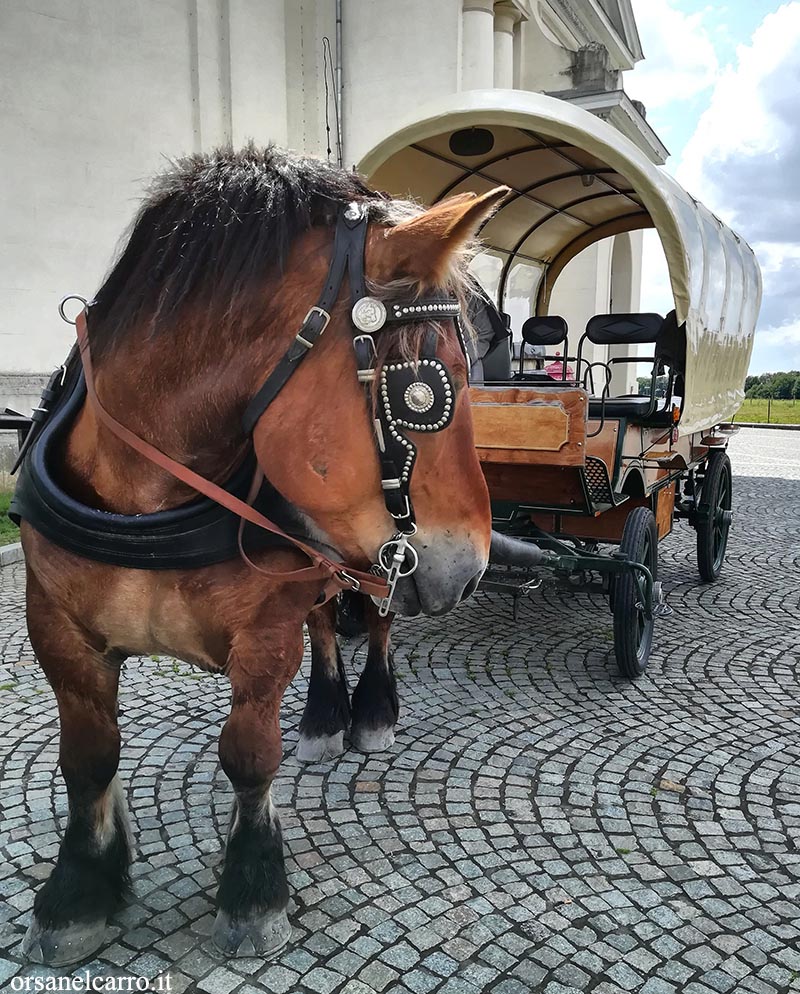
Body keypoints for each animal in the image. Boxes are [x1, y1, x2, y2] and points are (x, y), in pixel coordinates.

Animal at [21, 145, 506, 960]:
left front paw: (251, 890)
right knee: (326, 623)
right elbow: (88, 759)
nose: (471, 568)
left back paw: (368, 712)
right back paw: (322, 717)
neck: (145, 496)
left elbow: (248, 756)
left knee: (374, 623)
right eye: (424, 388)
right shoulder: (60, 635)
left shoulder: (263, 637)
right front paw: (81, 890)